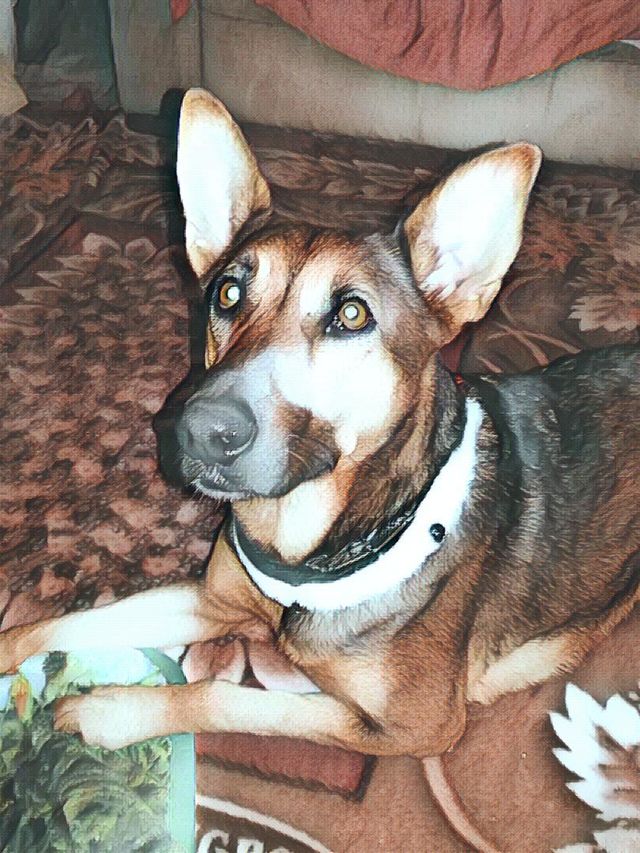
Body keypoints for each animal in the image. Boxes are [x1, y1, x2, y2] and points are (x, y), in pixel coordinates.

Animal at [1, 89, 639, 759]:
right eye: (227, 294)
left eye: (352, 314)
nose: (202, 431)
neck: (312, 542)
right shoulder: (211, 596)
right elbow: (57, 623)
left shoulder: (416, 725)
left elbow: (226, 698)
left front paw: (113, 710)